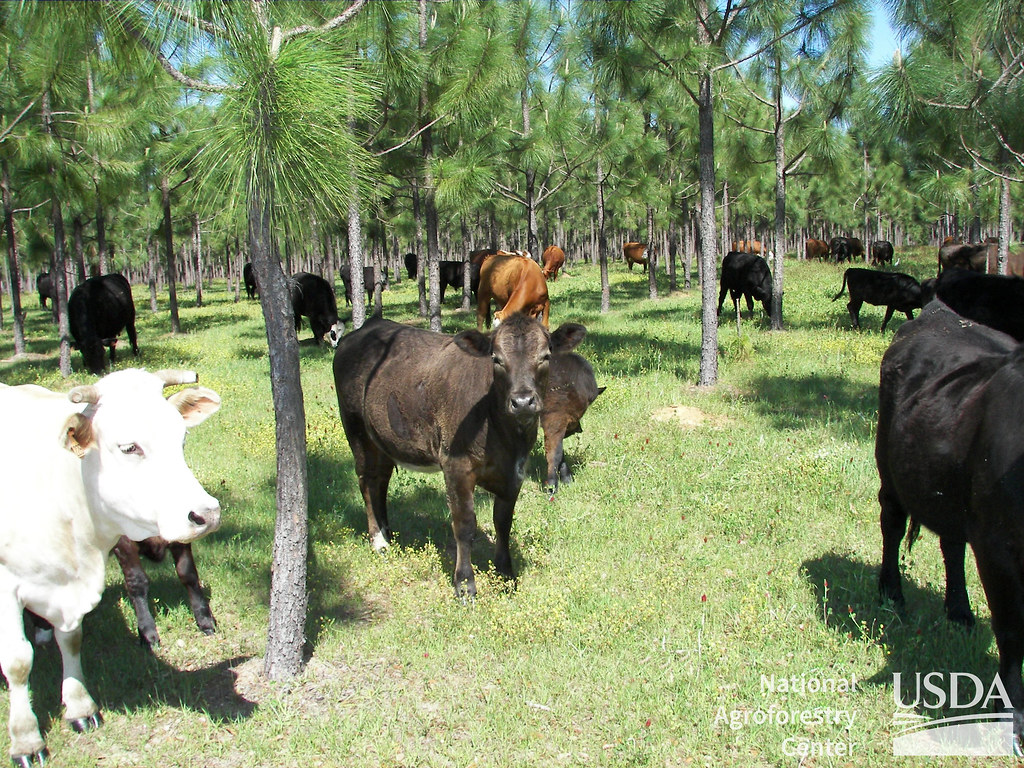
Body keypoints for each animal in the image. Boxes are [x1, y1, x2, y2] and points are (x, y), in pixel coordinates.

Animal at [0, 370, 222, 765]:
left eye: (181, 438)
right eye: (129, 447)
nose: (208, 513)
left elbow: (72, 639)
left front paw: (79, 707)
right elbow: (17, 661)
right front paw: (26, 740)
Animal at [333, 315, 585, 598]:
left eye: (545, 355)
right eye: (496, 359)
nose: (522, 401)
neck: (506, 436)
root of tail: (363, 330)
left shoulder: (515, 471)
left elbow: (503, 523)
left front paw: (506, 575)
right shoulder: (455, 465)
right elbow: (464, 525)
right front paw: (465, 584)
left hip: (383, 439)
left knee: (380, 481)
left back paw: (388, 533)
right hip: (356, 430)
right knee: (366, 481)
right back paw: (378, 541)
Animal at [872, 301, 1024, 745]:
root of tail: (938, 311)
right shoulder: (997, 549)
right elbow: (1012, 632)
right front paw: (1010, 717)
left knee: (952, 543)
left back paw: (959, 611)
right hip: (890, 466)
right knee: (892, 522)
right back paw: (891, 593)